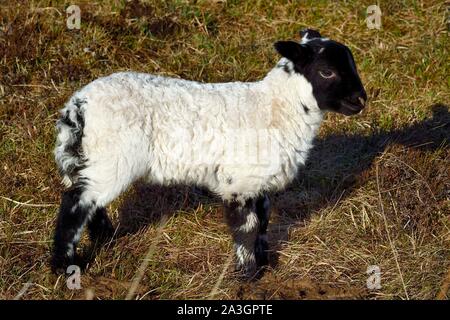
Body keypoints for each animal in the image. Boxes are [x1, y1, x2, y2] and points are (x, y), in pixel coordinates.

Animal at [51, 28, 366, 278]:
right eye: (327, 71)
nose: (361, 100)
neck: (276, 107)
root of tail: (77, 107)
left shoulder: (259, 182)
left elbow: (264, 222)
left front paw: (263, 265)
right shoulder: (239, 182)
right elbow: (247, 228)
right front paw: (247, 275)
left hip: (98, 158)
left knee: (90, 200)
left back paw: (106, 237)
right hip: (113, 155)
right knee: (75, 203)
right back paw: (64, 267)